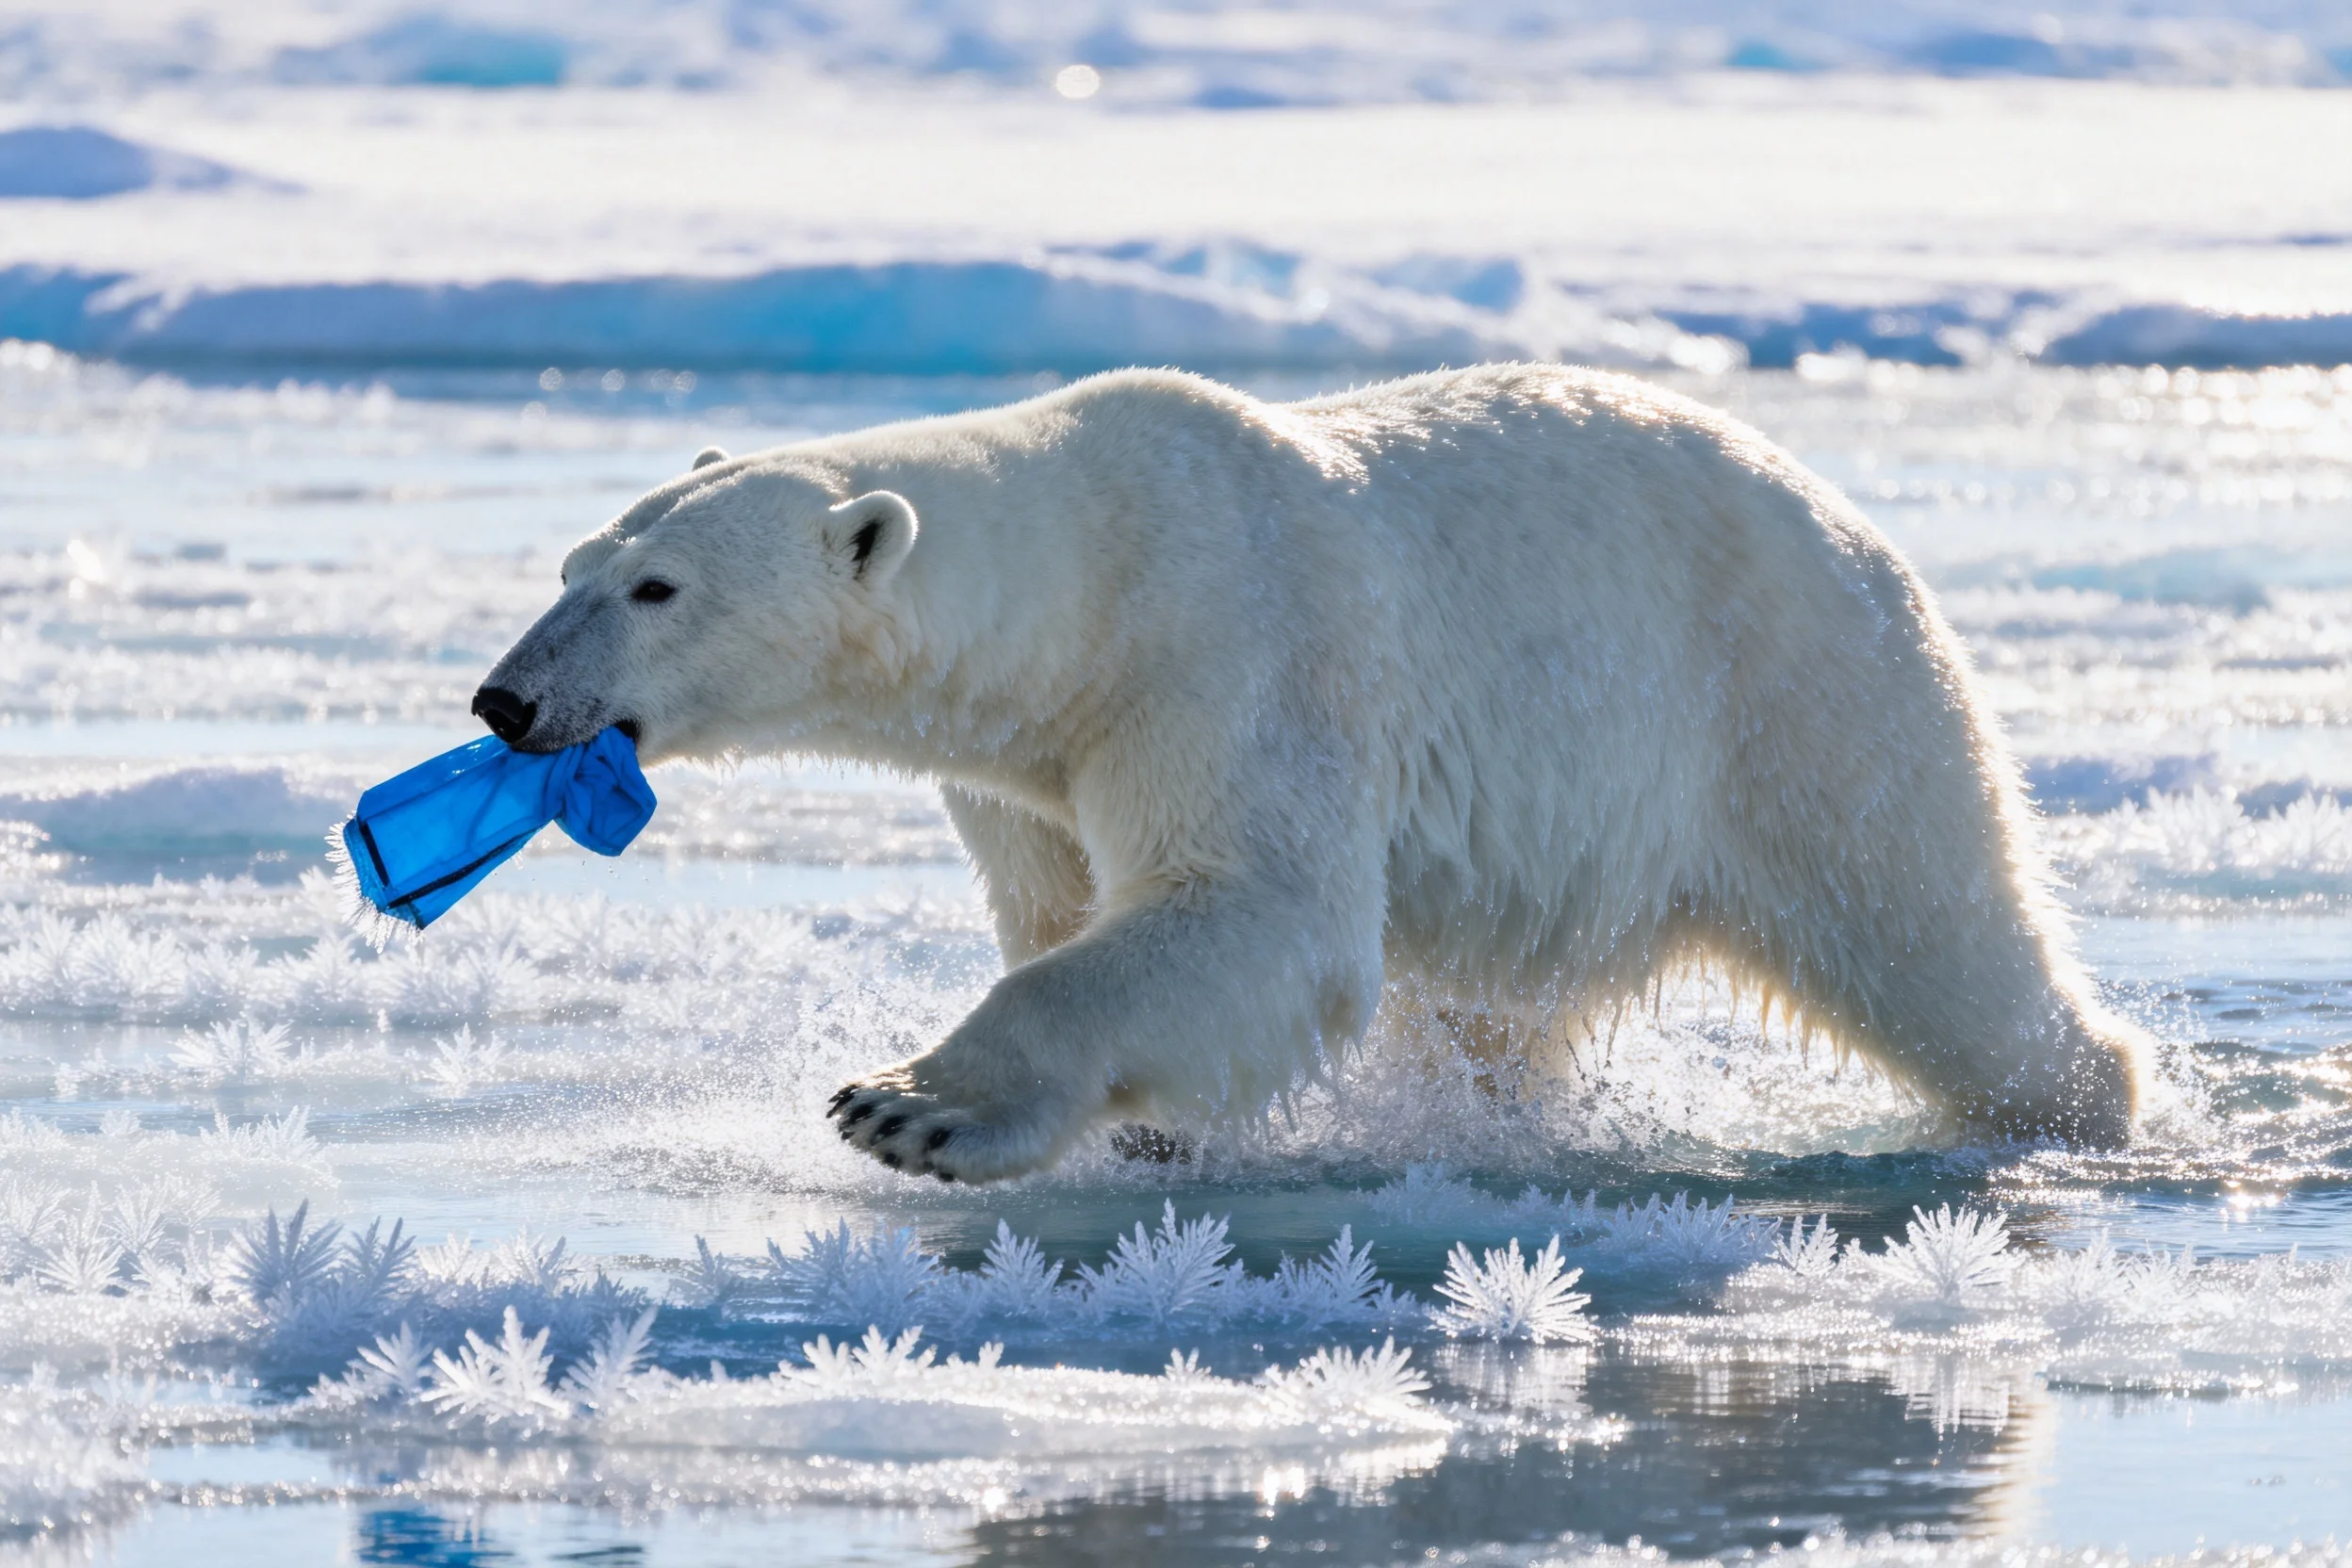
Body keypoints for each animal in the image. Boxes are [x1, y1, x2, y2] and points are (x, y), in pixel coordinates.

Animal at [476, 362, 2147, 1182]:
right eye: (570, 566)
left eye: (656, 591)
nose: (508, 700)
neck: (1088, 578)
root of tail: (1855, 524)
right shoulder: (1028, 770)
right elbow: (1069, 910)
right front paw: (1142, 1125)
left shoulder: (1230, 651)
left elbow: (1255, 906)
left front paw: (911, 1108)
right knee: (1500, 1007)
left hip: (1800, 701)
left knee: (1926, 928)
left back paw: (2075, 1106)